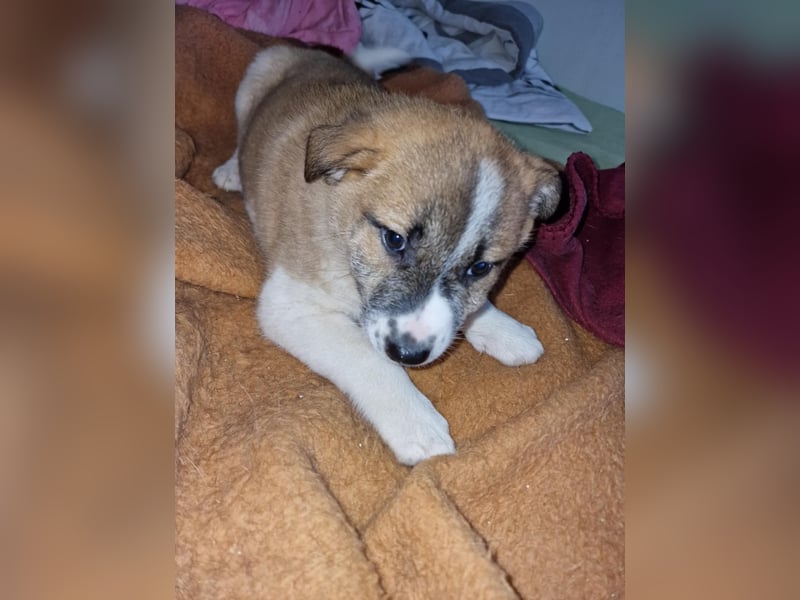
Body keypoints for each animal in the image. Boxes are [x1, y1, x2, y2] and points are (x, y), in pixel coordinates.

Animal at [213, 46, 561, 465]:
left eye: (479, 268)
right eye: (394, 239)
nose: (410, 353)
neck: (342, 227)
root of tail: (314, 53)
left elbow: (471, 307)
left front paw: (504, 330)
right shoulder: (292, 306)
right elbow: (369, 359)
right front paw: (417, 424)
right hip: (255, 74)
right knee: (241, 135)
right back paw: (232, 171)